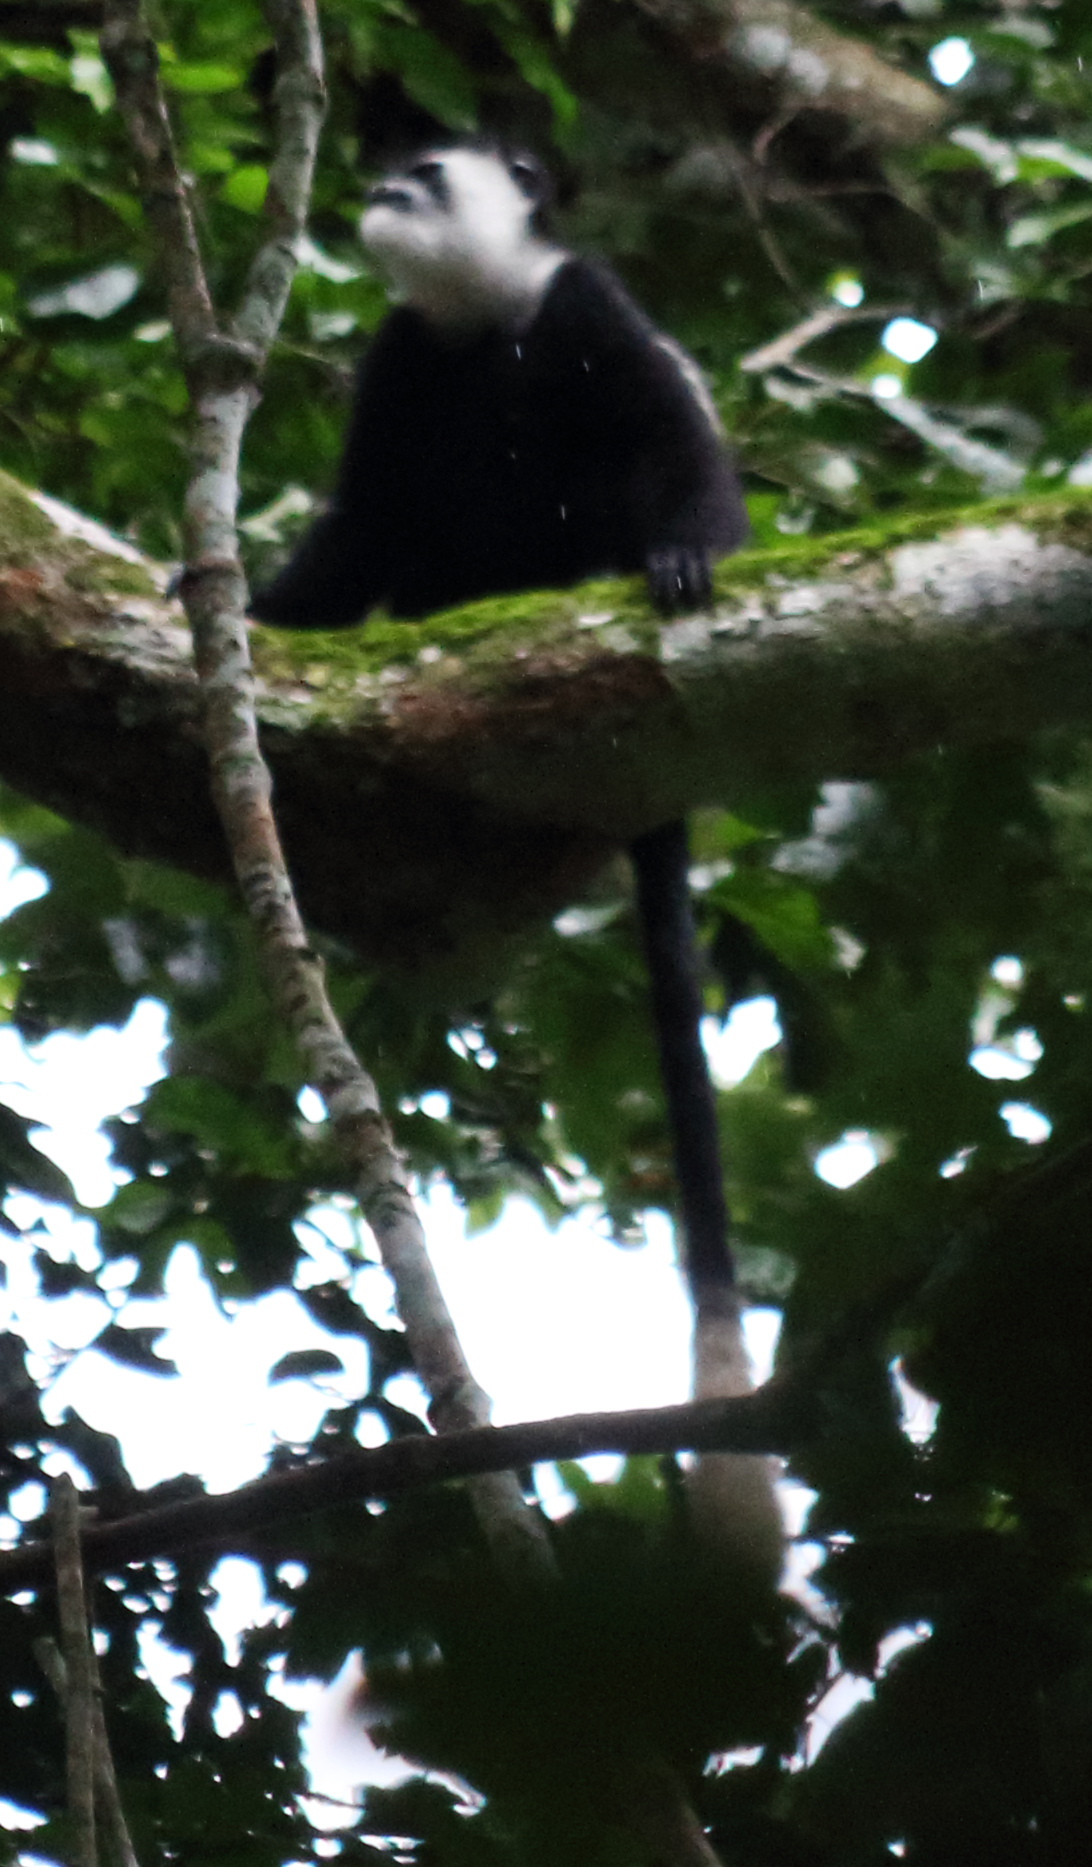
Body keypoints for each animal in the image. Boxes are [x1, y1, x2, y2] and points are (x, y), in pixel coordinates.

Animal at [253, 145, 784, 1575]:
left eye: (429, 170)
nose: (385, 183)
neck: (482, 319)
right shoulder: (400, 365)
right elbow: (358, 525)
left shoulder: (586, 306)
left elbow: (676, 449)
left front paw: (687, 553)